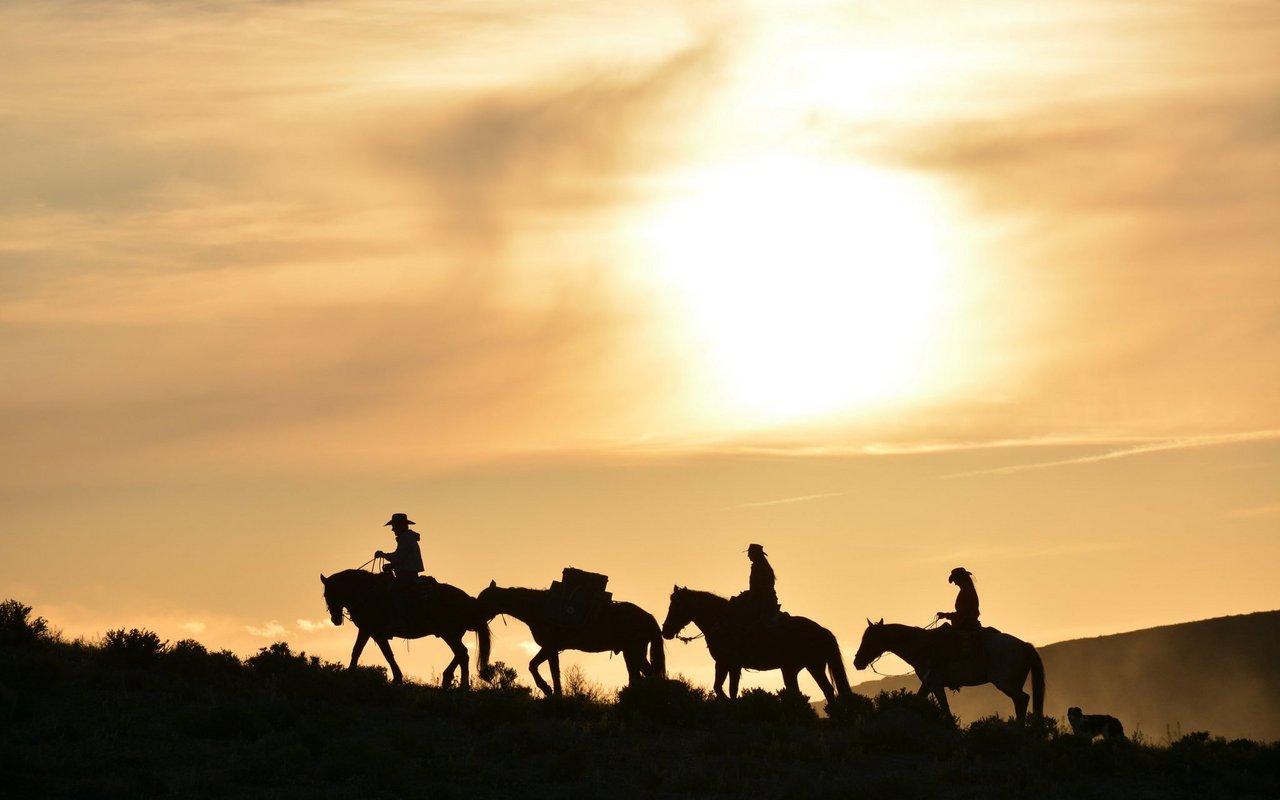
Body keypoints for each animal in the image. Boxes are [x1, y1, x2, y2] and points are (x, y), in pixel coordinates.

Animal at [322, 568, 491, 686]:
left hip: (449, 635)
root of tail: (469, 601)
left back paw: (462, 685)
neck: (367, 594)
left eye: (329, 594)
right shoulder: (369, 631)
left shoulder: (373, 631)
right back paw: (448, 679)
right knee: (462, 654)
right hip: (451, 635)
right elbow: (360, 651)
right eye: (325, 595)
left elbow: (384, 654)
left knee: (462, 654)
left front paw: (397, 678)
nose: (335, 620)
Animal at [476, 576, 665, 696]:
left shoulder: (550, 647)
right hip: (629, 653)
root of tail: (648, 617)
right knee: (637, 677)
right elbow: (549, 671)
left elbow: (539, 668)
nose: (474, 615)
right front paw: (553, 692)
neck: (539, 607)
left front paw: (548, 690)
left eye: (484, 600)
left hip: (635, 652)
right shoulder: (551, 649)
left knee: (650, 675)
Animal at [660, 583, 849, 701]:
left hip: (806, 667)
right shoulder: (726, 665)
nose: (665, 631)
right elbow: (723, 688)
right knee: (820, 690)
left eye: (675, 606)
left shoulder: (728, 664)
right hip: (800, 668)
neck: (722, 622)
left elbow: (727, 689)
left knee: (825, 690)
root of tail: (822, 630)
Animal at [855, 614, 1044, 721]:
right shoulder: (929, 684)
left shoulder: (935, 683)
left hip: (1005, 683)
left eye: (869, 639)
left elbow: (945, 709)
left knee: (1022, 699)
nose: (857, 662)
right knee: (1020, 701)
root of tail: (1023, 645)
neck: (923, 646)